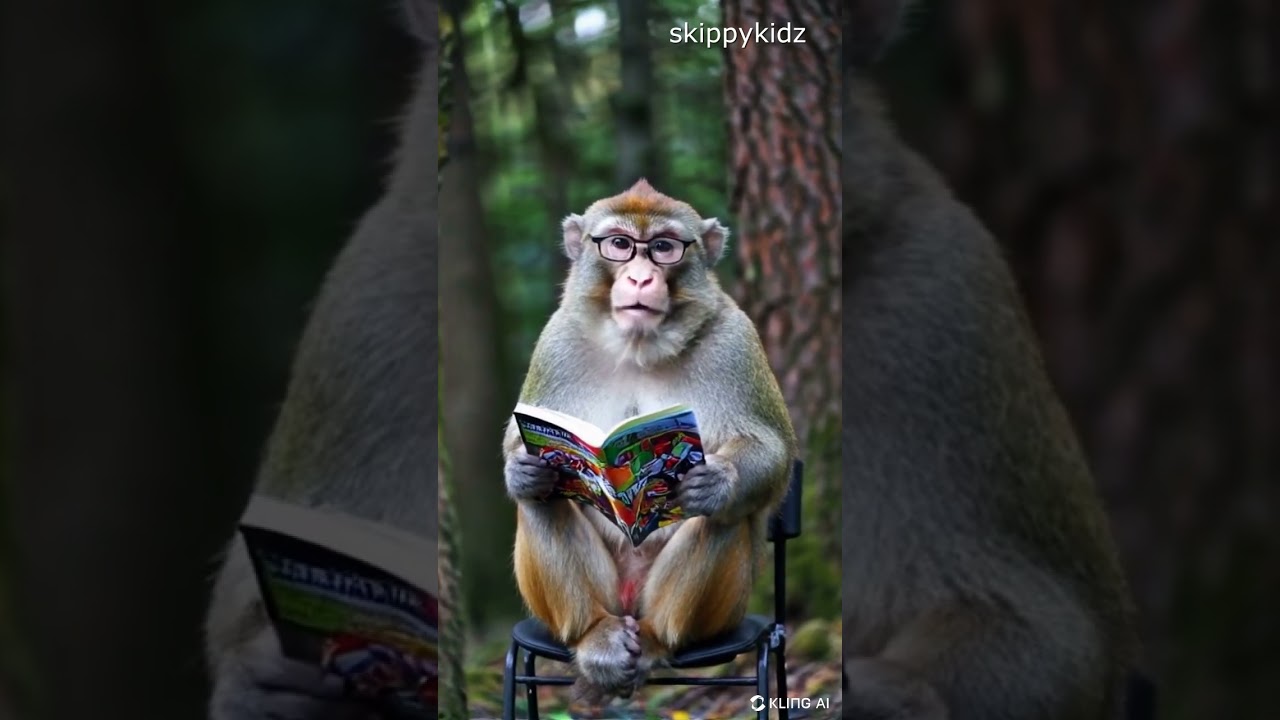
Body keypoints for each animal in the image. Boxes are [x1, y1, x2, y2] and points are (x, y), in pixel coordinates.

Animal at [503, 179, 799, 705]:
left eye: (662, 247)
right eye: (620, 244)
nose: (641, 279)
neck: (639, 347)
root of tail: (629, 609)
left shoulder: (736, 340)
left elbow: (773, 452)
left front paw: (716, 482)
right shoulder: (556, 340)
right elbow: (515, 446)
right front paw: (524, 470)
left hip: (718, 611)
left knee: (719, 519)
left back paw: (659, 638)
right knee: (543, 502)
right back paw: (595, 634)